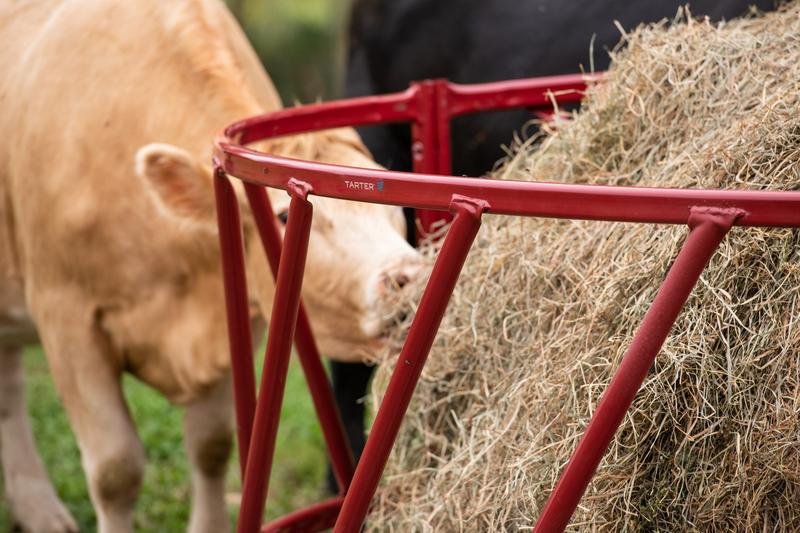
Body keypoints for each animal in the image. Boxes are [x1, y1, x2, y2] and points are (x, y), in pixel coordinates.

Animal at [0, 0, 420, 531]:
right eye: (284, 215)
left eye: (392, 201)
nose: (409, 279)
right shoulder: (67, 317)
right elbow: (115, 470)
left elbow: (212, 444)